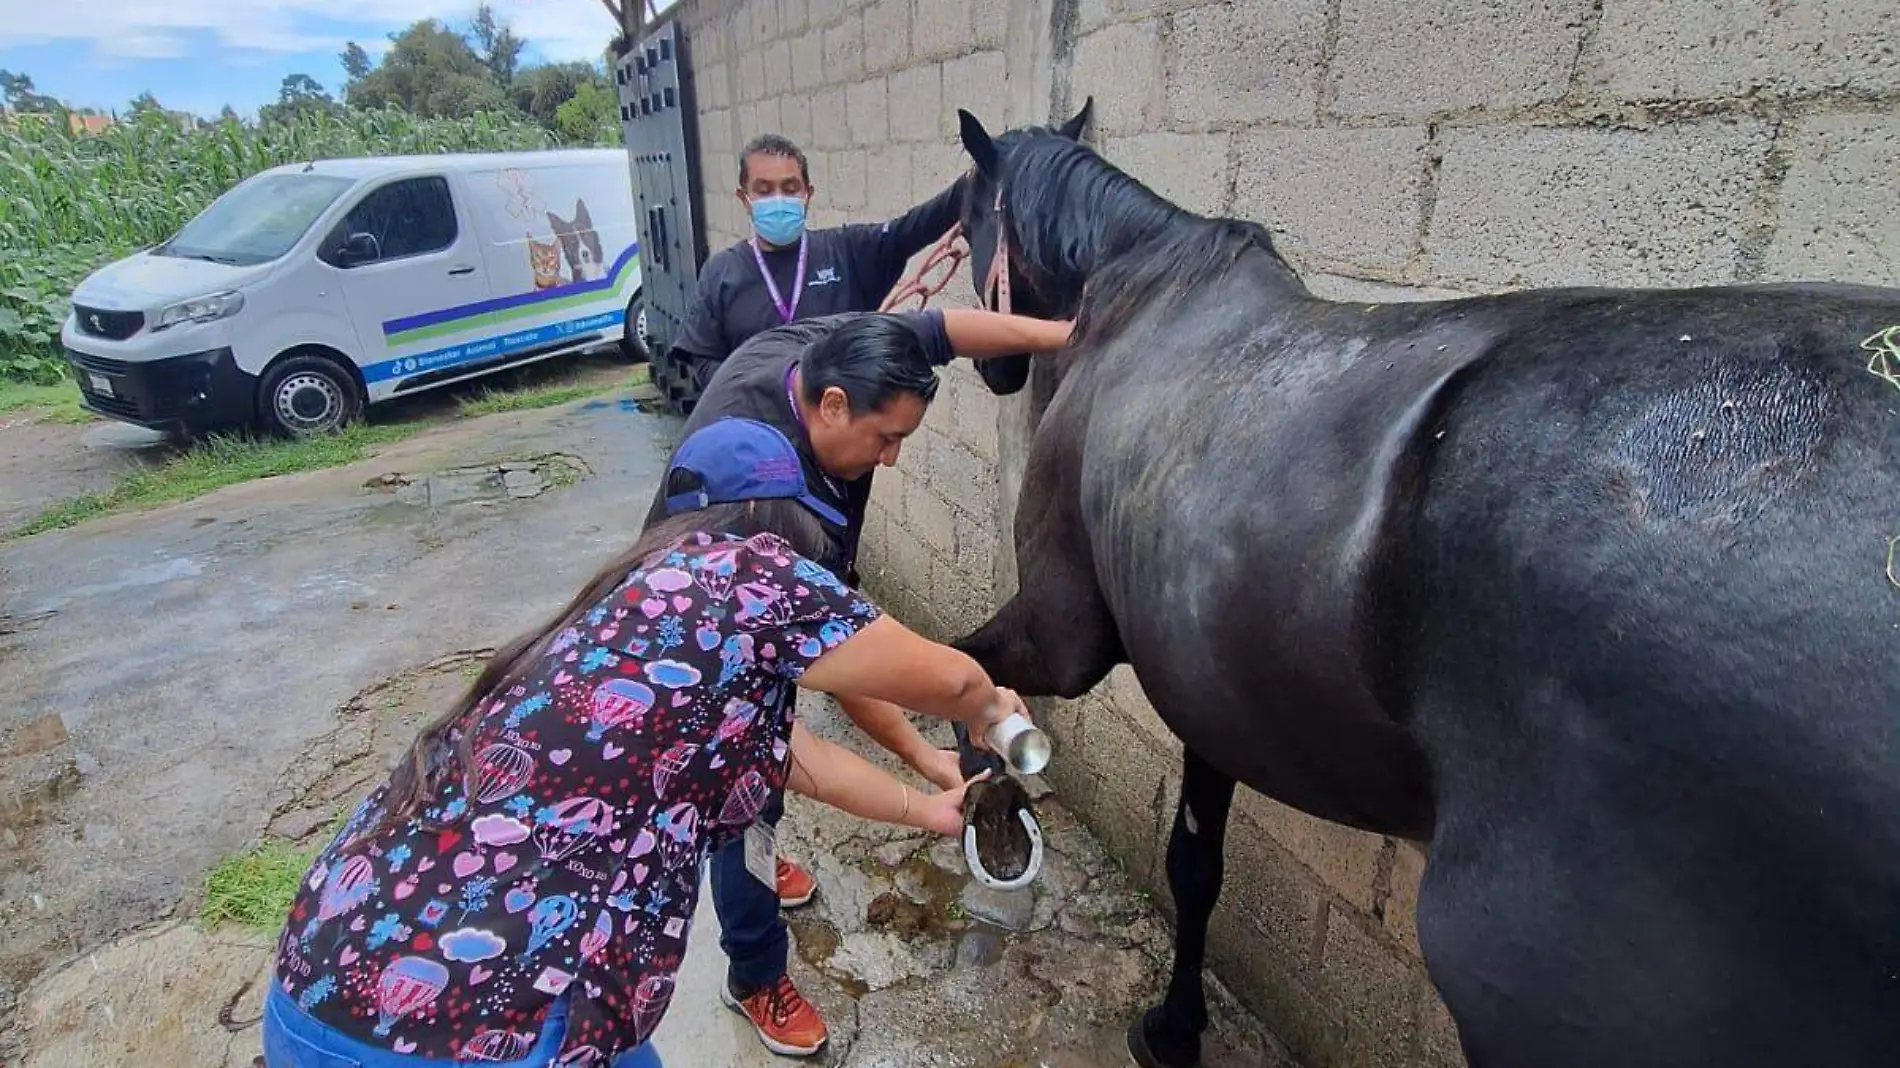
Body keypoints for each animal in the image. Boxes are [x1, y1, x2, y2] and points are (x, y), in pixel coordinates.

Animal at [942, 101, 1900, 1064]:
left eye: (973, 214)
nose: (986, 363)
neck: (1142, 299)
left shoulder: (1064, 637)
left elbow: (968, 671)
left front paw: (990, 811)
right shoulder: (1206, 699)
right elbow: (1195, 865)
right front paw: (1176, 1028)